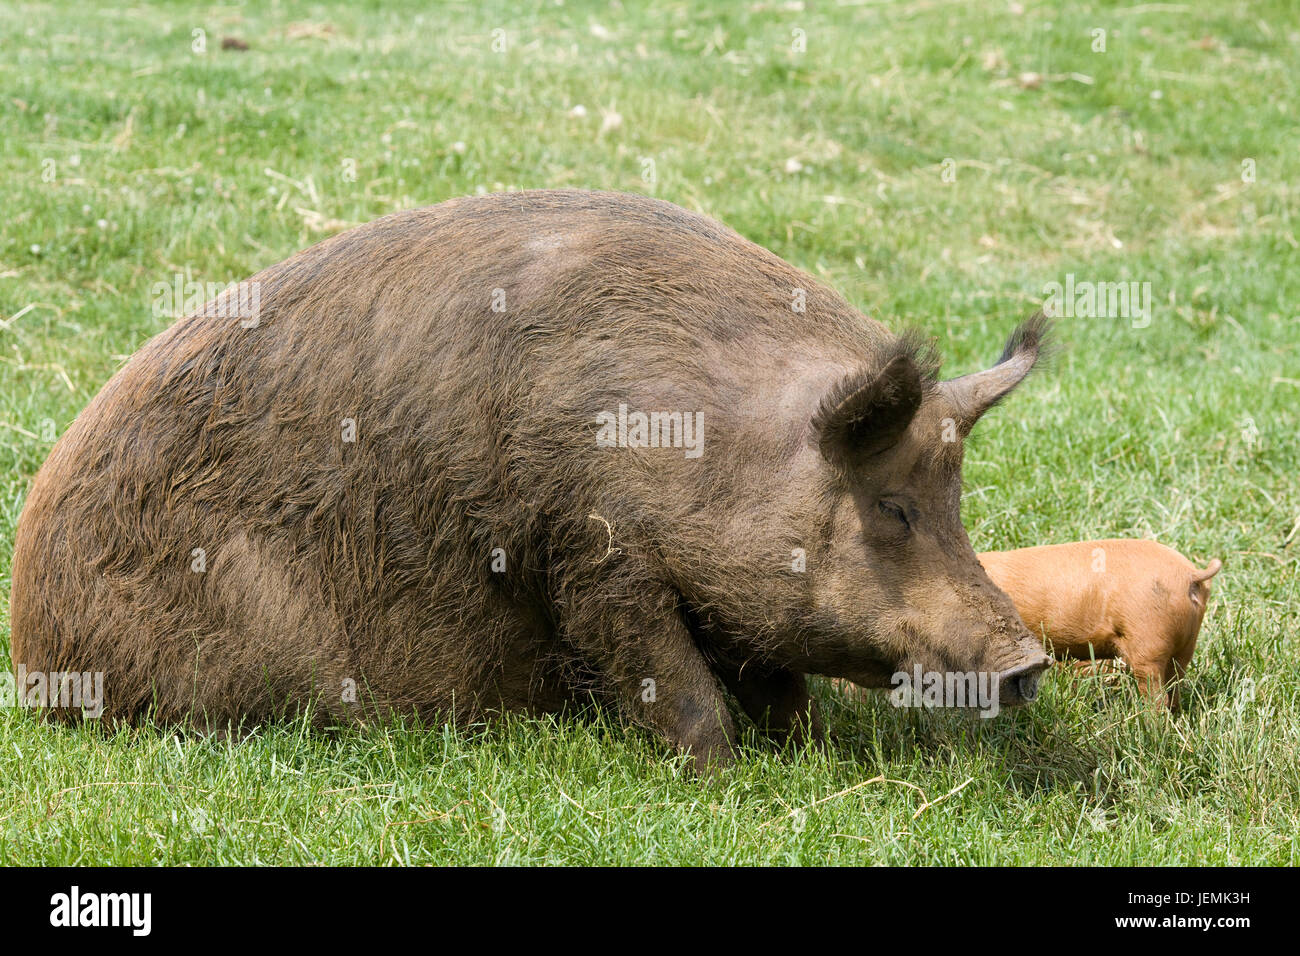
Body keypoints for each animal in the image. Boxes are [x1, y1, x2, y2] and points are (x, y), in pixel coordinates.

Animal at [10, 189, 1051, 771]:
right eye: (892, 506)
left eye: (956, 501)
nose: (1028, 662)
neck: (713, 444)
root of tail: (30, 644)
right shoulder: (592, 551)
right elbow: (669, 679)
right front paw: (729, 781)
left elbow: (774, 679)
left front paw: (805, 752)